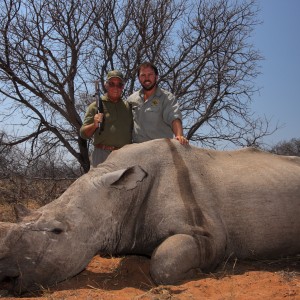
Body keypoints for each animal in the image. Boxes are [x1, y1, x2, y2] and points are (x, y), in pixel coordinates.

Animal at [0, 139, 300, 294]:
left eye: (57, 231)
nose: (6, 274)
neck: (118, 195)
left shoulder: (209, 235)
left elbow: (162, 263)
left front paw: (198, 273)